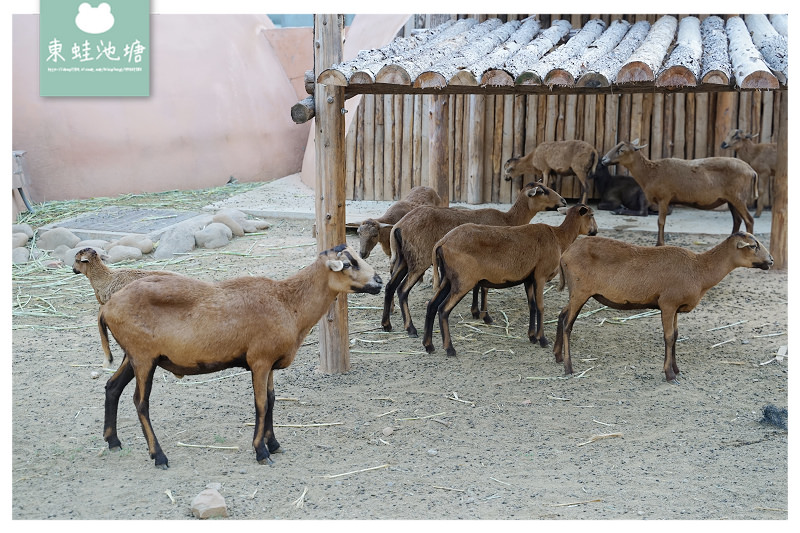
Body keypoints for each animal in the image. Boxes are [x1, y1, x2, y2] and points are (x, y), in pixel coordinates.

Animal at [100, 243, 384, 468]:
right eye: (348, 263)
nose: (379, 281)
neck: (288, 303)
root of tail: (107, 308)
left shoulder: (270, 363)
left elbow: (272, 400)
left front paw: (274, 444)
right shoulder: (259, 360)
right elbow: (261, 404)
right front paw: (261, 452)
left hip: (132, 356)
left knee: (112, 387)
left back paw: (113, 441)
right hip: (143, 357)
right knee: (140, 402)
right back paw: (158, 456)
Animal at [380, 181, 564, 334]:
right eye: (543, 191)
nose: (563, 201)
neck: (509, 219)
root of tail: (399, 226)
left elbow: (478, 285)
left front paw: (475, 312)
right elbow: (485, 288)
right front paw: (485, 316)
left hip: (405, 259)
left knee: (389, 286)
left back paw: (387, 324)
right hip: (419, 259)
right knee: (402, 290)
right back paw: (410, 328)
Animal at [422, 204, 596, 358]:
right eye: (591, 215)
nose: (595, 231)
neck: (559, 236)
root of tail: (442, 242)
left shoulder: (529, 279)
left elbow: (532, 306)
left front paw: (532, 336)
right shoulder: (540, 276)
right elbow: (540, 307)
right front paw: (542, 339)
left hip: (448, 278)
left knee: (431, 305)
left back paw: (429, 345)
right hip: (463, 280)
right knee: (443, 310)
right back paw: (450, 349)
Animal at [552, 231, 772, 380]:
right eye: (753, 246)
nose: (770, 261)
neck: (700, 270)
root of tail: (565, 254)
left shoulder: (675, 308)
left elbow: (676, 335)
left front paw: (676, 369)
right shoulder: (667, 303)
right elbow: (668, 337)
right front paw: (669, 374)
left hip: (576, 292)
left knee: (562, 314)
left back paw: (558, 356)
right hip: (580, 291)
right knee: (568, 325)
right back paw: (569, 368)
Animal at [604, 140, 760, 246]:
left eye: (621, 150)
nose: (603, 160)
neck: (650, 173)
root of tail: (752, 171)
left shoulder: (664, 198)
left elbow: (660, 221)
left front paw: (659, 244)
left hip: (738, 197)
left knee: (749, 220)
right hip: (731, 199)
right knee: (737, 220)